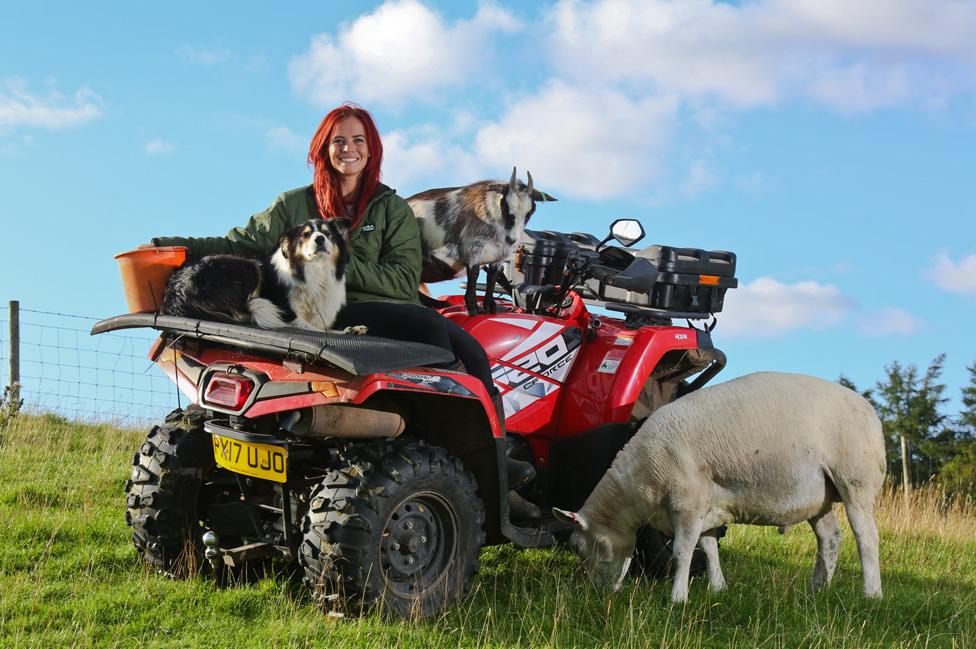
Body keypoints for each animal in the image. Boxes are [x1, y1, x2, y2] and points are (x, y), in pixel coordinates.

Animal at [556, 372, 884, 600]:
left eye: (584, 547)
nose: (598, 592)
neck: (638, 483)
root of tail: (871, 412)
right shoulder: (708, 505)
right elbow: (709, 548)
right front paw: (718, 588)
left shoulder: (688, 501)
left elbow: (682, 551)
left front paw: (678, 599)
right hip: (820, 496)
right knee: (830, 539)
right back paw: (817, 590)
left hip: (855, 479)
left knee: (866, 538)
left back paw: (872, 594)